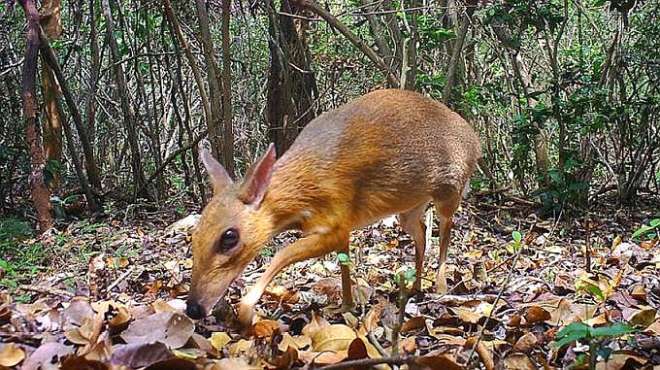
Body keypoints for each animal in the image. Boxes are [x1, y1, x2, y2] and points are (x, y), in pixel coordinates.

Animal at [184, 88, 480, 326]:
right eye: (194, 235)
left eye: (229, 237)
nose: (193, 308)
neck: (305, 187)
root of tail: (475, 138)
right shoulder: (342, 227)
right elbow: (343, 263)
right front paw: (347, 305)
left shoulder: (335, 221)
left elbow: (282, 254)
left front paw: (246, 312)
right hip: (409, 207)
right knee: (420, 231)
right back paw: (414, 286)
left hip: (450, 190)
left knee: (446, 229)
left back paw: (439, 286)